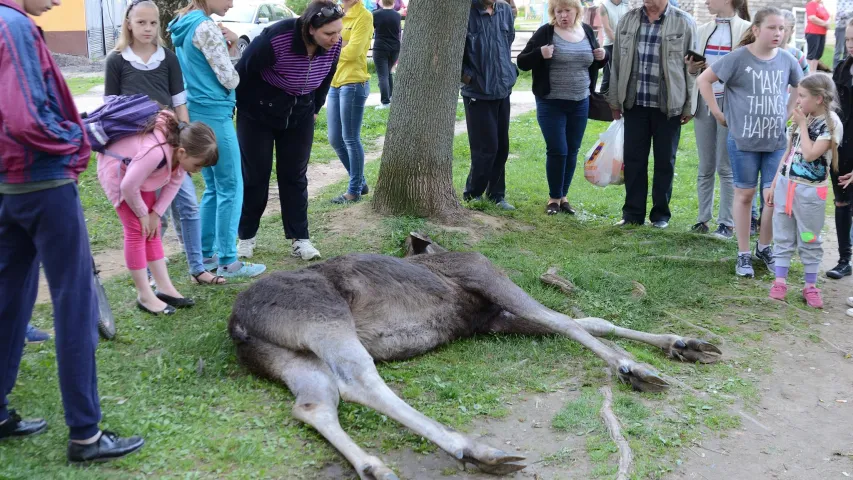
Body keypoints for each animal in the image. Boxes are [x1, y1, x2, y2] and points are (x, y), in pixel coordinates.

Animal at [228, 232, 720, 476]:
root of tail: (238, 325)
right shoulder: (485, 276)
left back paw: (374, 466)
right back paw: (474, 450)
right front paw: (632, 365)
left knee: (312, 404)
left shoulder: (492, 320)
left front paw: (684, 343)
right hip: (326, 318)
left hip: (292, 358)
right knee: (357, 379)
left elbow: (587, 321)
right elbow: (566, 320)